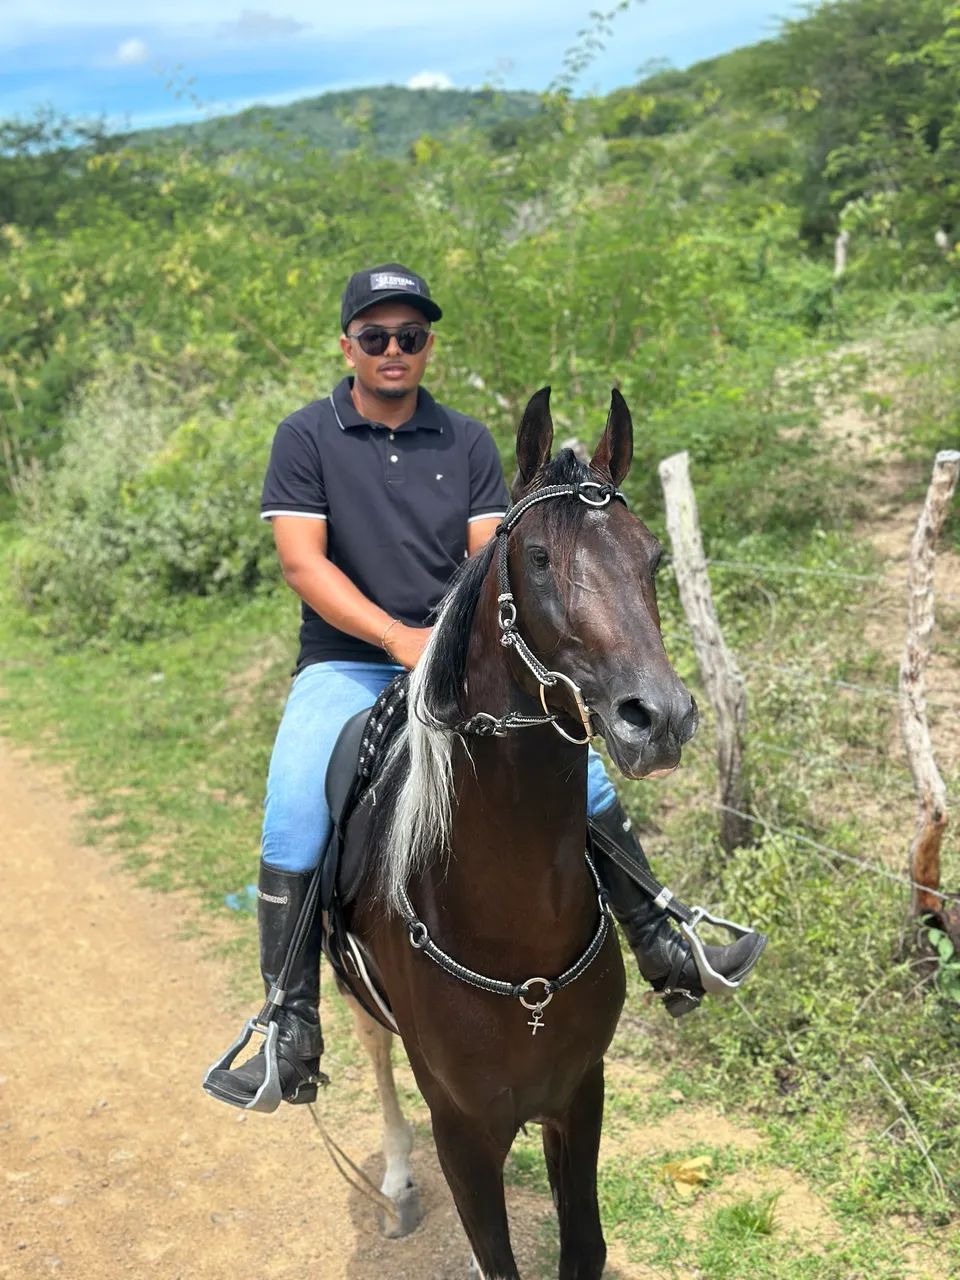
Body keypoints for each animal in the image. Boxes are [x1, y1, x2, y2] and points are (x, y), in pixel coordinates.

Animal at [340, 386, 698, 1279]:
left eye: (653, 560)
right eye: (537, 558)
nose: (658, 718)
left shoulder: (578, 1095)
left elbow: (585, 1246)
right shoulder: (463, 1132)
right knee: (375, 1063)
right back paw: (397, 1183)